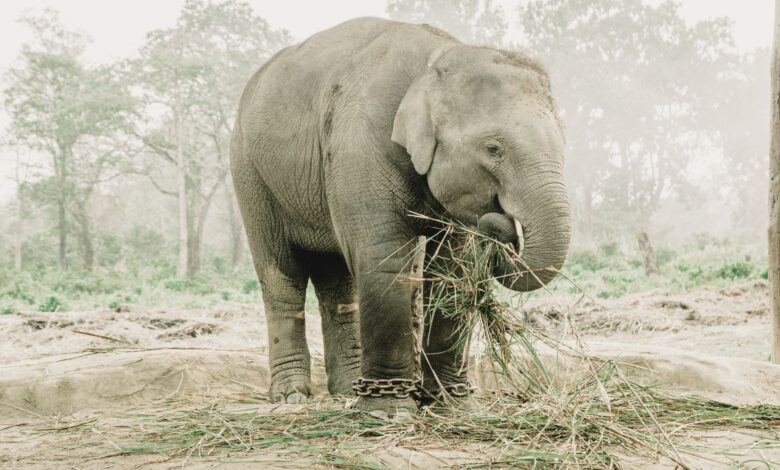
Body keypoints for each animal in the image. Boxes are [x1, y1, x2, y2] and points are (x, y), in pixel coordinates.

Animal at [230, 17, 570, 417]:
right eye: (493, 149)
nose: (501, 226)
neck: (434, 60)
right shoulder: (360, 142)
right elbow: (385, 259)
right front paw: (387, 412)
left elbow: (454, 270)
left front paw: (452, 406)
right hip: (251, 173)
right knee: (282, 275)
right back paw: (291, 397)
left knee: (338, 281)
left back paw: (346, 391)